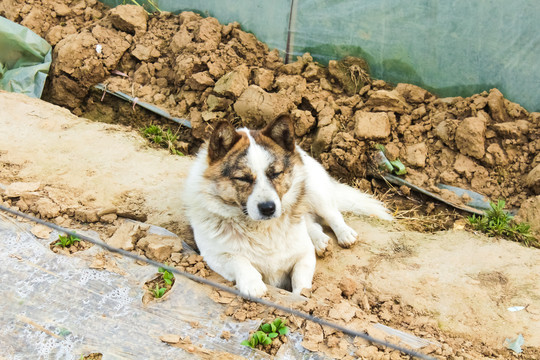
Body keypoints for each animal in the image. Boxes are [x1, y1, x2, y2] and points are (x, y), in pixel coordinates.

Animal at [182, 114, 392, 296]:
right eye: (243, 178)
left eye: (275, 173)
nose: (268, 208)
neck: (264, 230)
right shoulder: (214, 256)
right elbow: (239, 261)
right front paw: (253, 284)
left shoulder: (304, 255)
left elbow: (300, 281)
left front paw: (302, 299)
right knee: (312, 224)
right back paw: (320, 241)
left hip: (315, 191)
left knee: (332, 214)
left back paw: (344, 234)